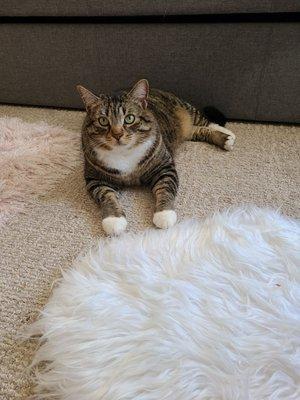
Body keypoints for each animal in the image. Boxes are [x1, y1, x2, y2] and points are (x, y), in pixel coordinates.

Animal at [76, 80, 236, 236]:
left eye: (129, 118)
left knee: (206, 122)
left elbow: (165, 187)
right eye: (103, 121)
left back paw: (227, 136)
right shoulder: (95, 178)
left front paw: (164, 214)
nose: (117, 134)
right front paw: (114, 220)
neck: (124, 153)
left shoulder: (164, 167)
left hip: (186, 109)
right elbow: (106, 196)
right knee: (198, 131)